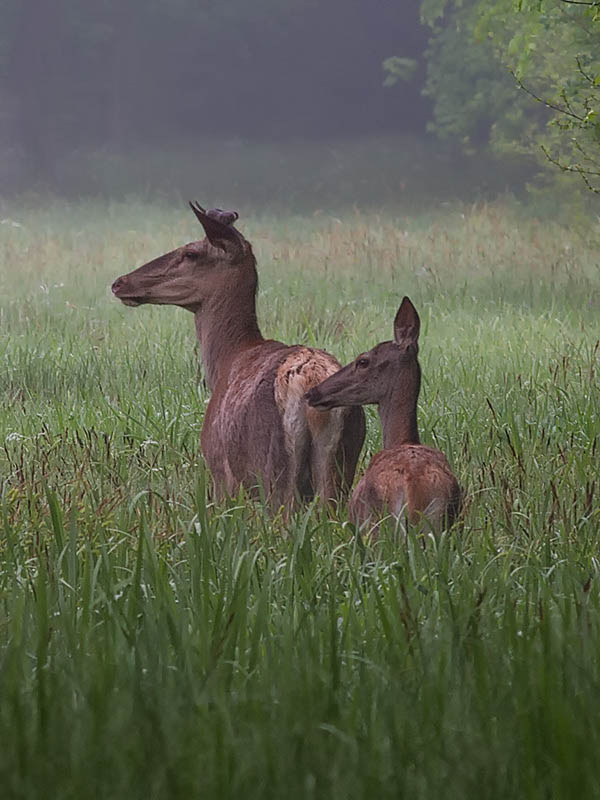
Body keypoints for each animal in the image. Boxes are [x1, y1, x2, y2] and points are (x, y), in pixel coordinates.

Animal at [112, 203, 366, 510]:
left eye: (191, 253)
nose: (120, 282)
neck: (226, 360)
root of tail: (309, 380)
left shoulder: (221, 471)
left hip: (272, 470)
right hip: (342, 464)